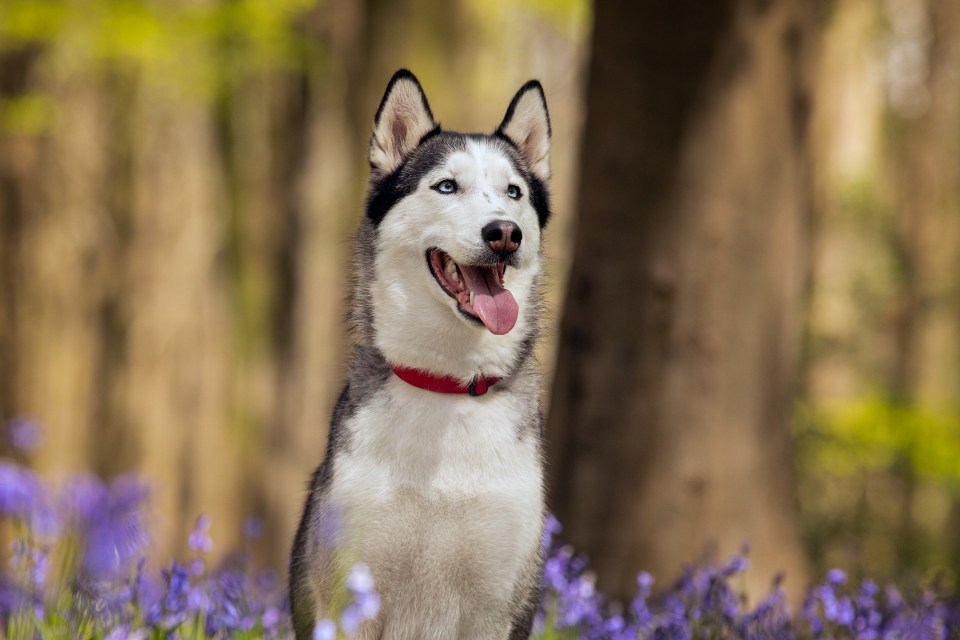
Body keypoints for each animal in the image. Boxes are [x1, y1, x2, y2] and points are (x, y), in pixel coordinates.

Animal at [288, 70, 552, 640]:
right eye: (446, 186)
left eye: (514, 192)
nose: (505, 232)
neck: (448, 382)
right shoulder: (348, 595)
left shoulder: (495, 607)